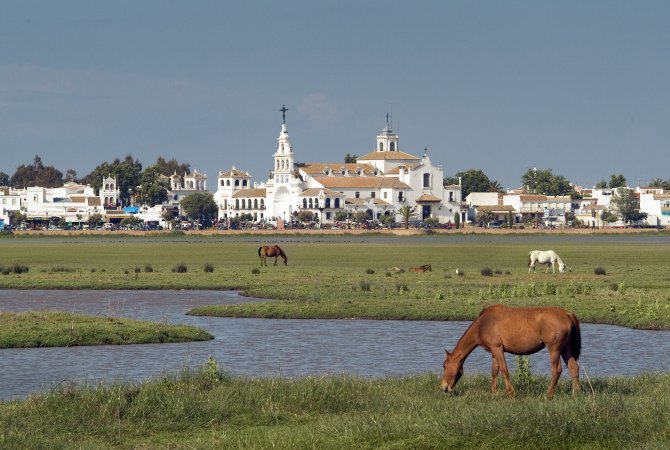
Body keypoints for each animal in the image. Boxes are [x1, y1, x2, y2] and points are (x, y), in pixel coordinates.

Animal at [440, 304, 584, 400]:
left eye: (444, 365)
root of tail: (567, 314)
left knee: (557, 370)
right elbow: (494, 371)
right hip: (566, 349)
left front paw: (510, 392)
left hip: (554, 349)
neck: (482, 324)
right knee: (574, 368)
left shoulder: (497, 348)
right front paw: (494, 391)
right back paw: (576, 393)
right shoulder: (493, 350)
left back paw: (548, 394)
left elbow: (504, 370)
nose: (444, 388)